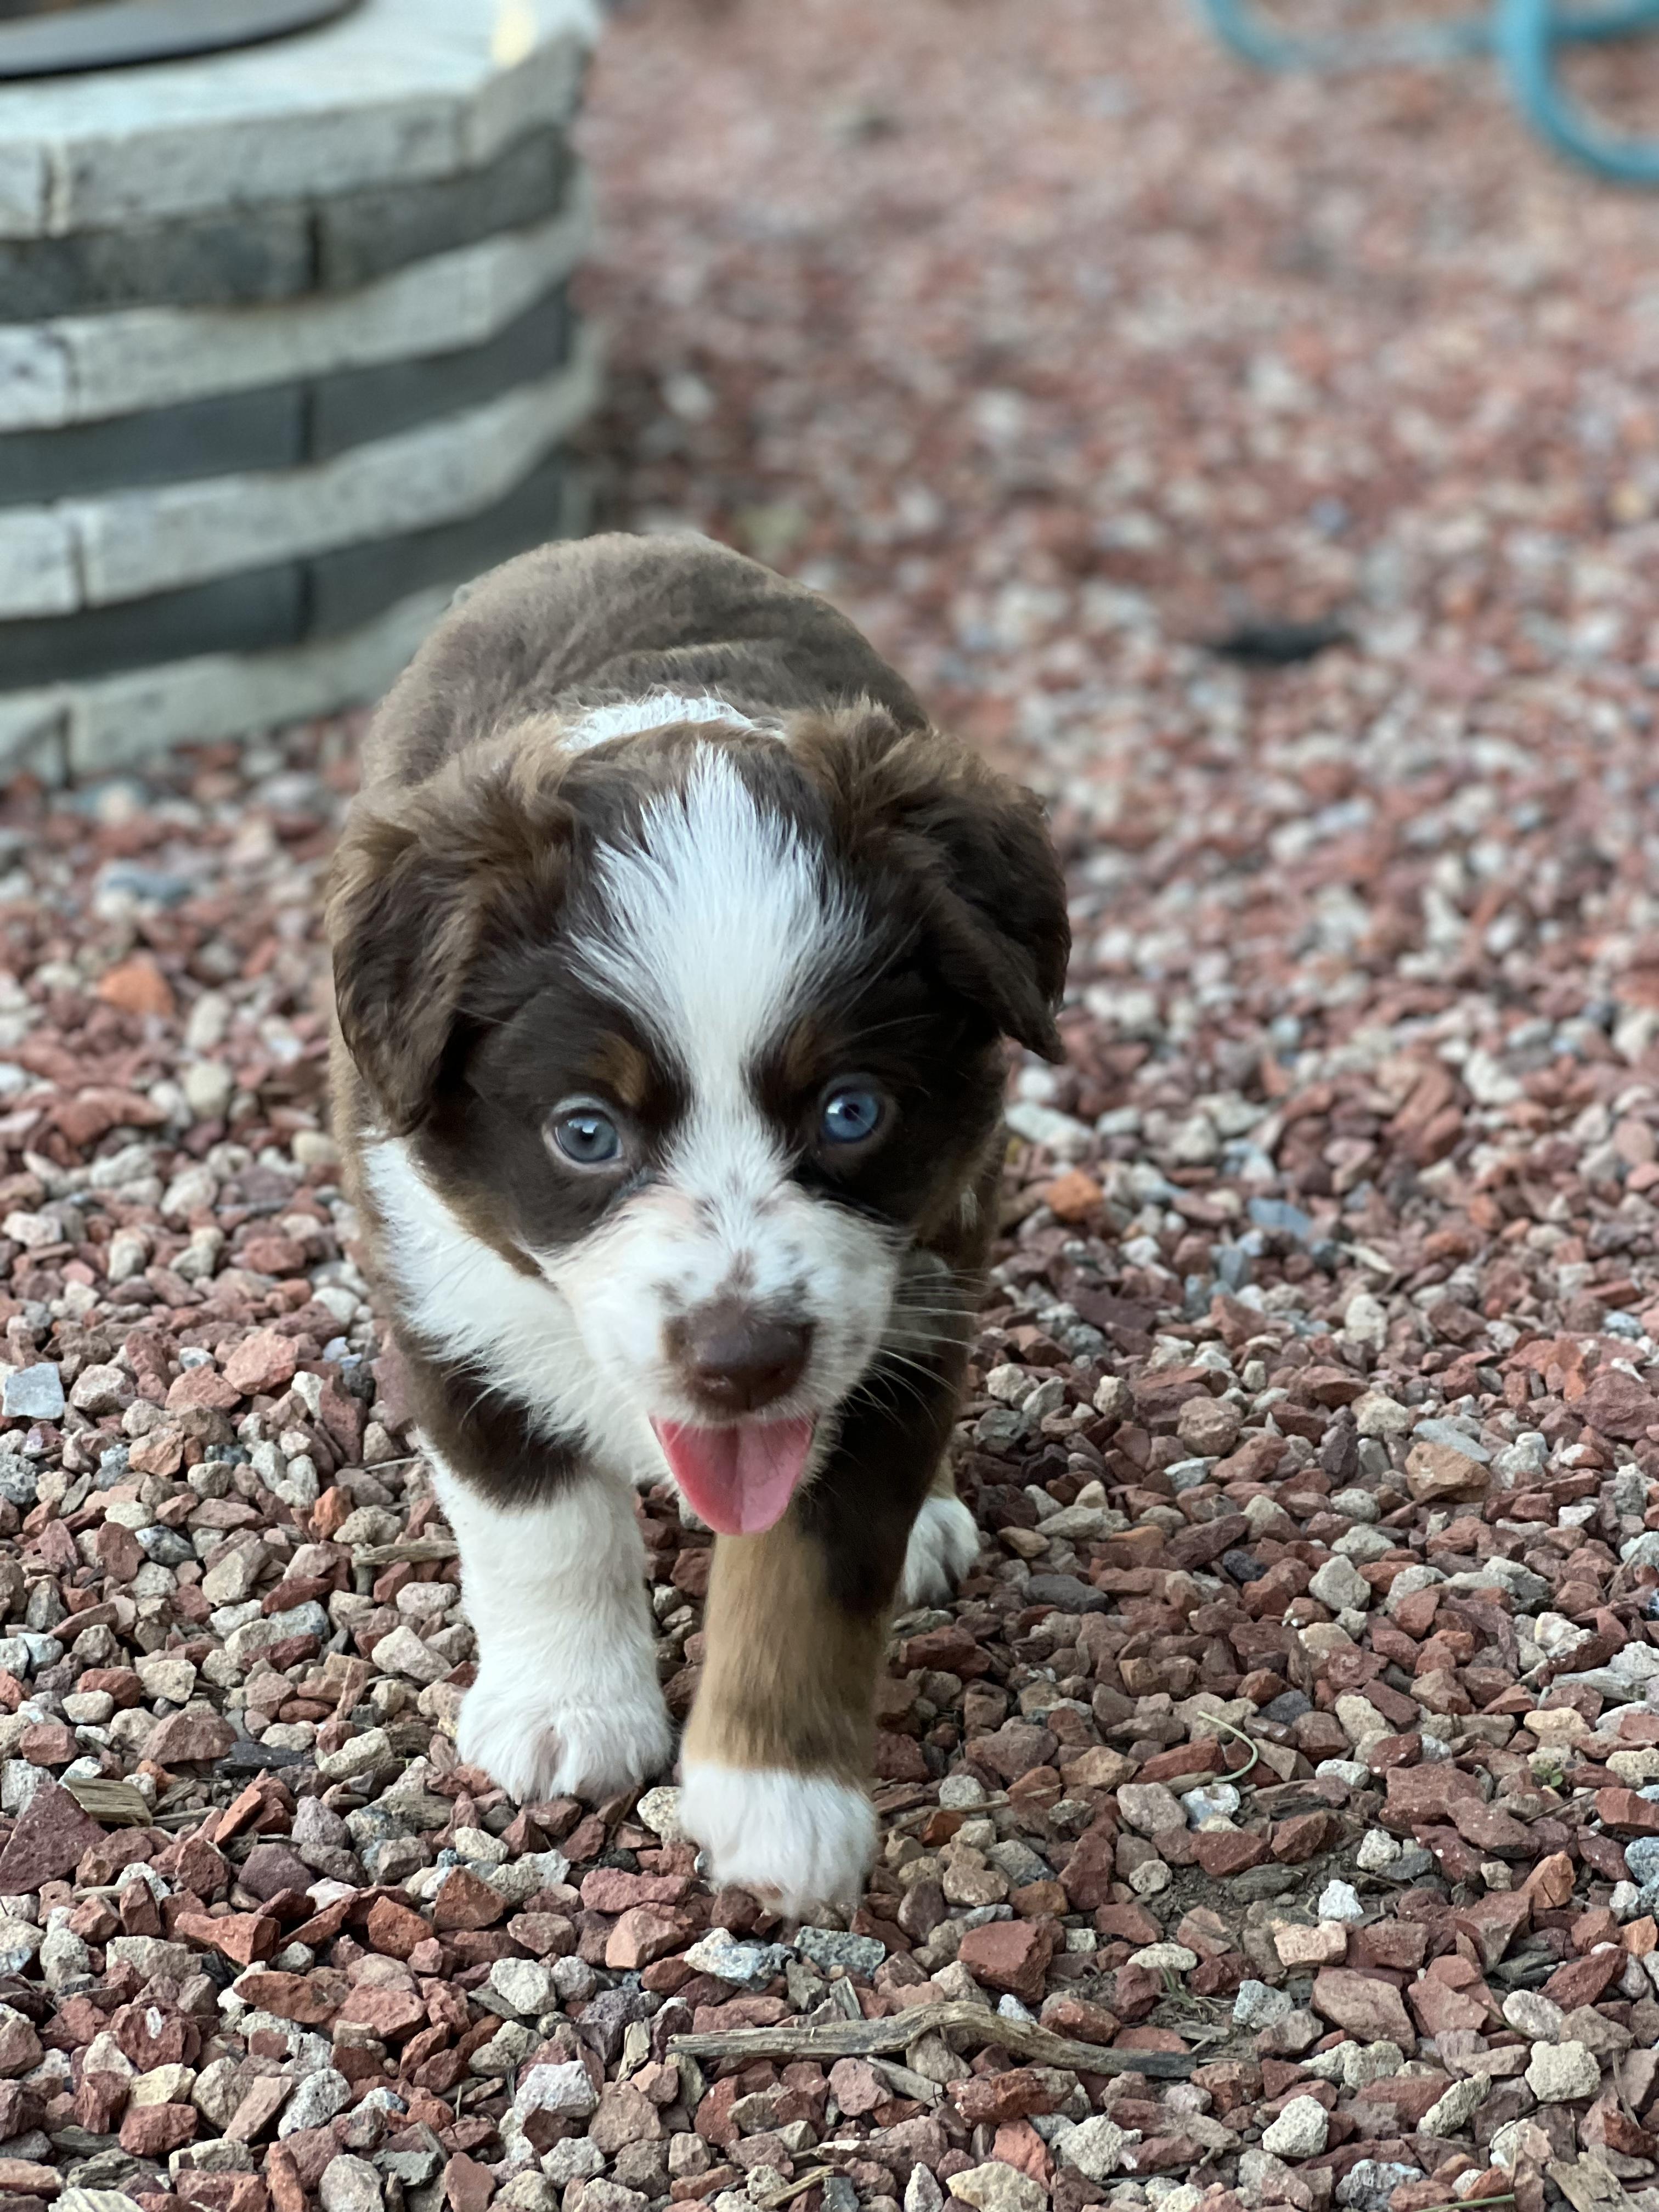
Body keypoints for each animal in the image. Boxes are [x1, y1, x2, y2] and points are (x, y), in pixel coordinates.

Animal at [327, 533, 1069, 1914]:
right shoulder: (448, 1299)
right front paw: (566, 1713)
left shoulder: (896, 1319)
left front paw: (779, 1806)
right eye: (585, 1133)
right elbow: (540, 1526)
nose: (741, 1361)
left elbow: (811, 1574)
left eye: (850, 1110)